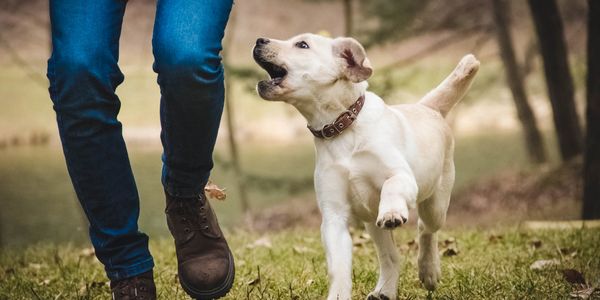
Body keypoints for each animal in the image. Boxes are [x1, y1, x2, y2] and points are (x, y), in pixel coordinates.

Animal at [252, 33, 478, 300]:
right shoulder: (334, 217)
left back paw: (428, 271)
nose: (259, 40)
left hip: (436, 204)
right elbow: (339, 268)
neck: (341, 128)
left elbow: (392, 185)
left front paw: (391, 212)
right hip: (372, 224)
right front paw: (338, 295)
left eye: (302, 45)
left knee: (426, 228)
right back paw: (385, 291)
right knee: (391, 256)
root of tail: (427, 107)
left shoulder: (402, 176)